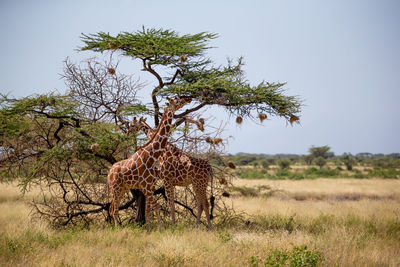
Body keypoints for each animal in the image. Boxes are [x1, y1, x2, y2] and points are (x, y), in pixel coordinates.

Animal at [107, 97, 191, 231]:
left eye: (133, 125)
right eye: (177, 101)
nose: (189, 98)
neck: (152, 156)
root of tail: (109, 172)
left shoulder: (150, 186)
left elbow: (149, 209)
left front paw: (149, 229)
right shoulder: (146, 186)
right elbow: (154, 207)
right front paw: (159, 229)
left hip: (122, 188)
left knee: (112, 208)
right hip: (116, 188)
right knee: (114, 209)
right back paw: (118, 229)